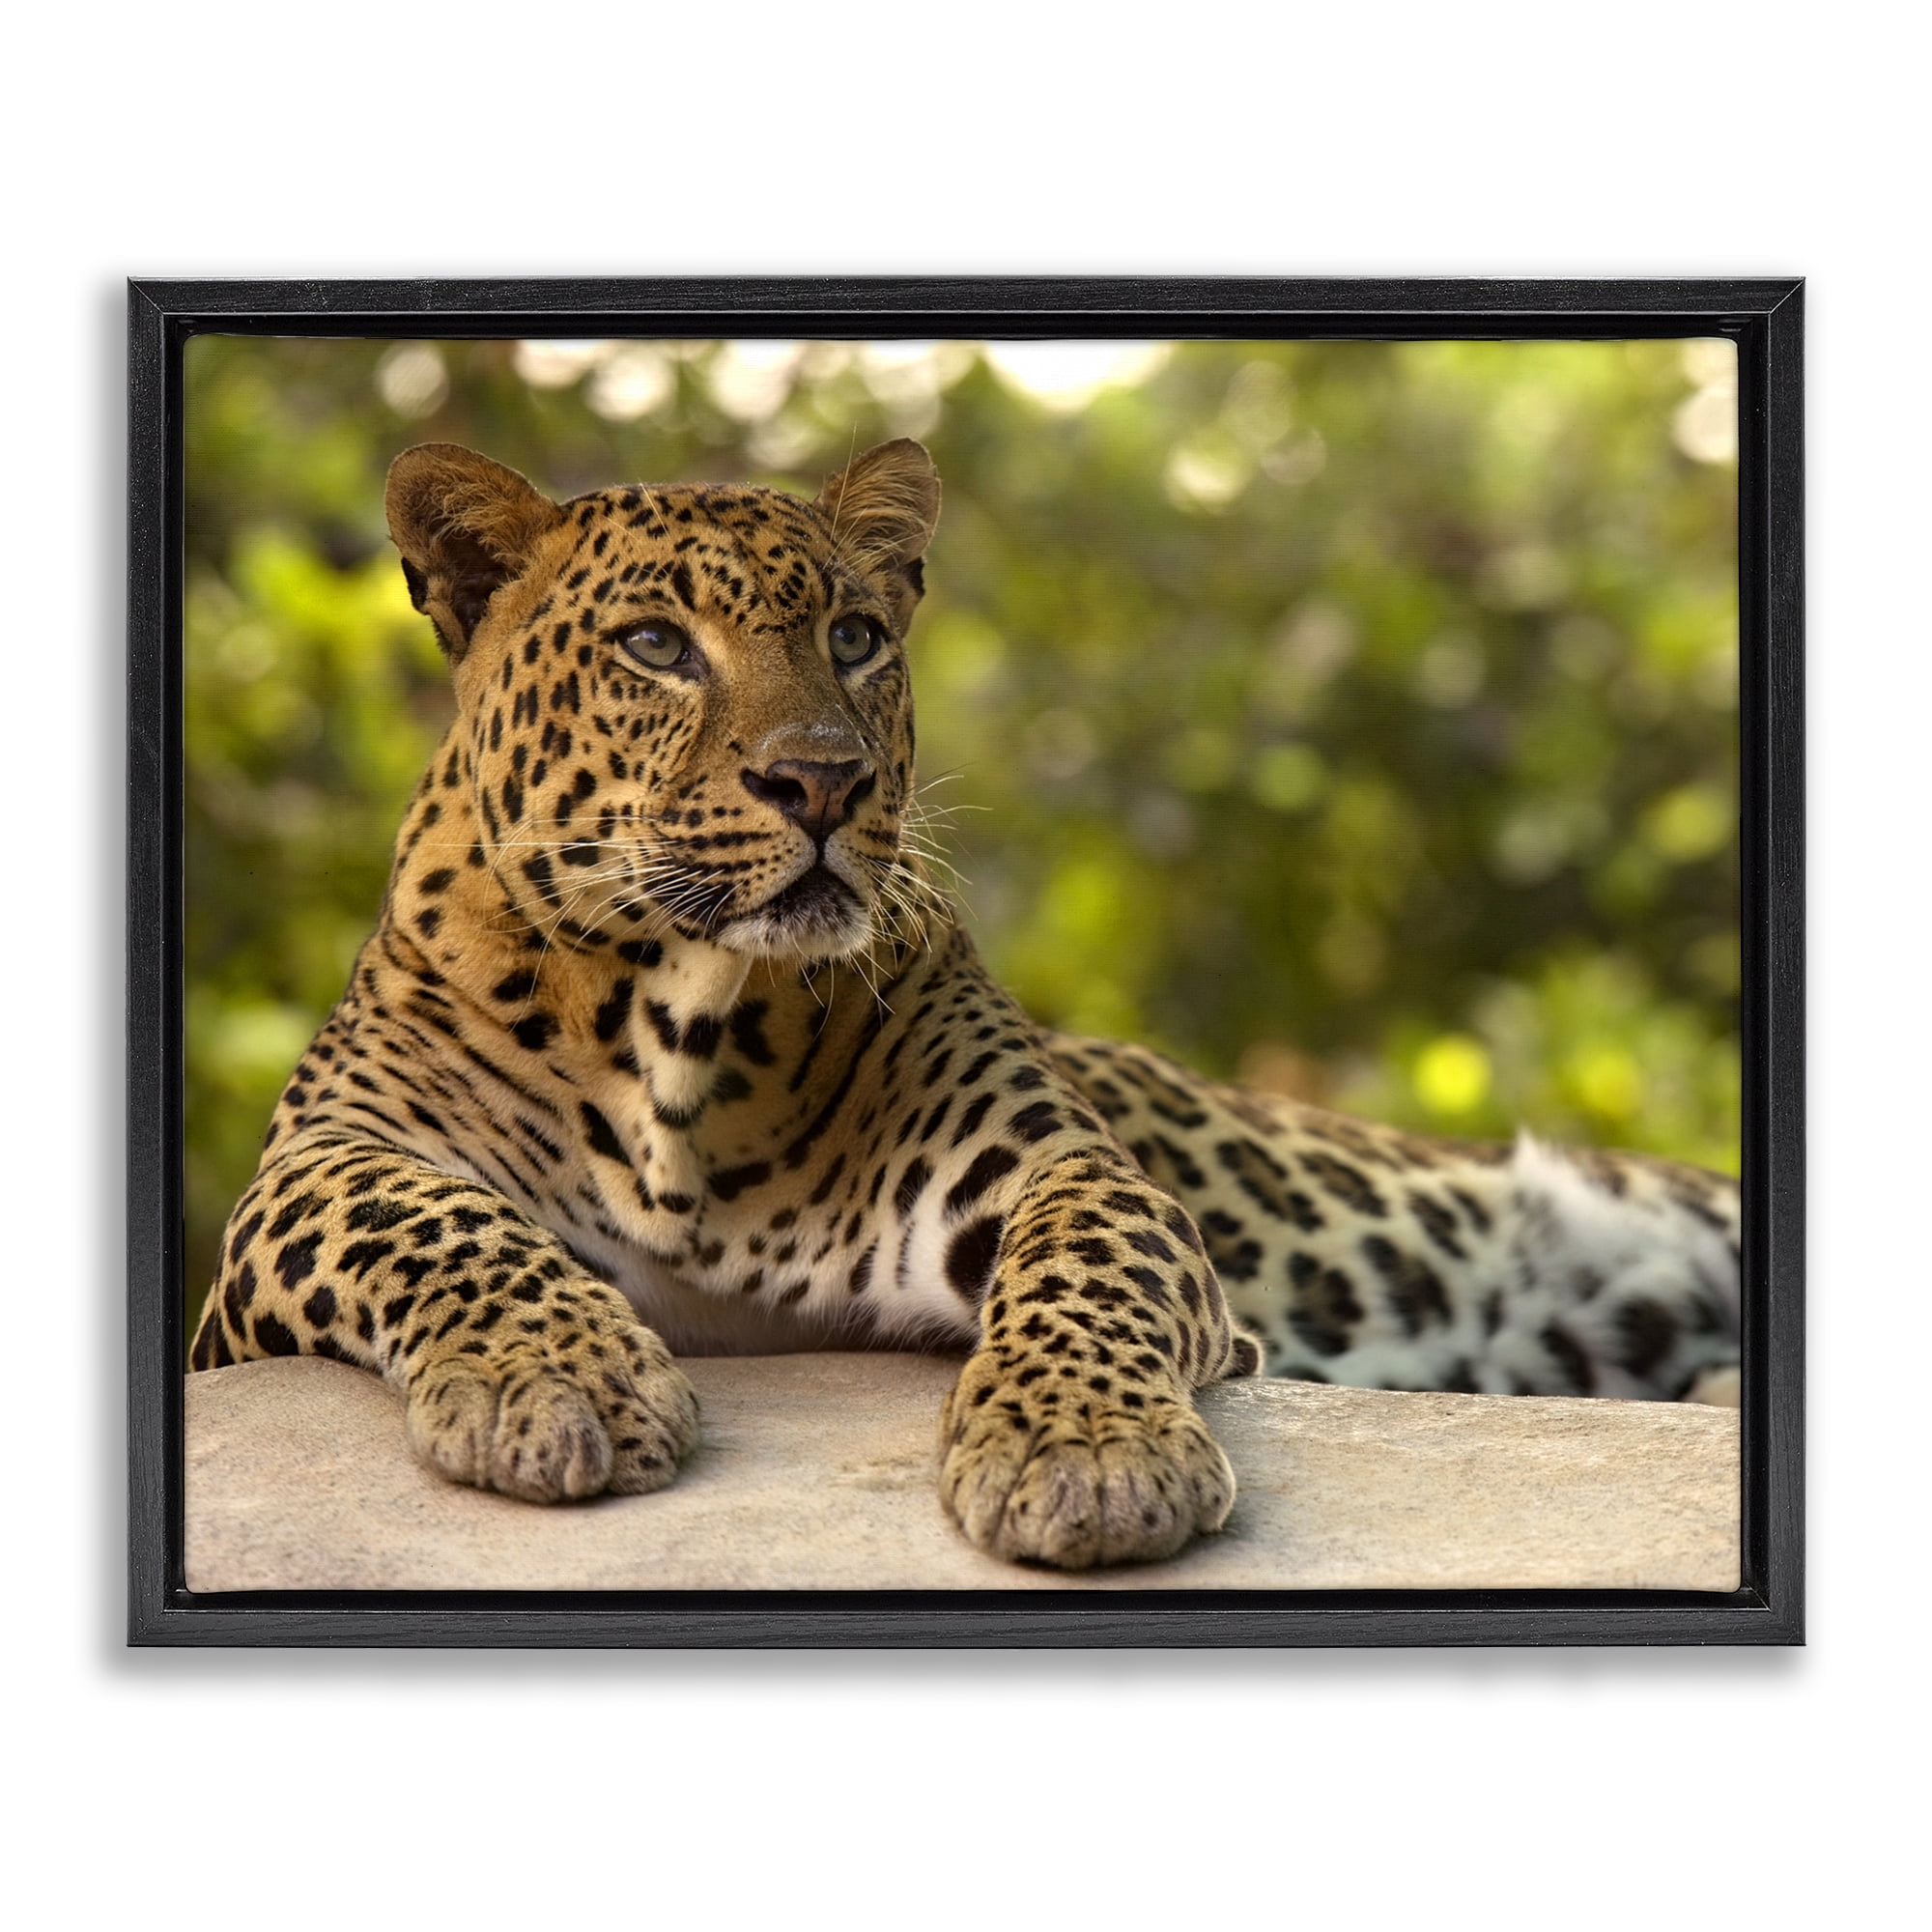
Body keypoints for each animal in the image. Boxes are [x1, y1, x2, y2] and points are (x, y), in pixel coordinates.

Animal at [189, 437, 1742, 1571]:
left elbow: (1084, 1266)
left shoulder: (1051, 1164)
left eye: (855, 635)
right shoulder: (302, 1182)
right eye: (655, 645)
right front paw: (555, 1380)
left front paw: (1086, 1455)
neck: (680, 1025)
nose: (822, 781)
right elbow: (428, 1217)